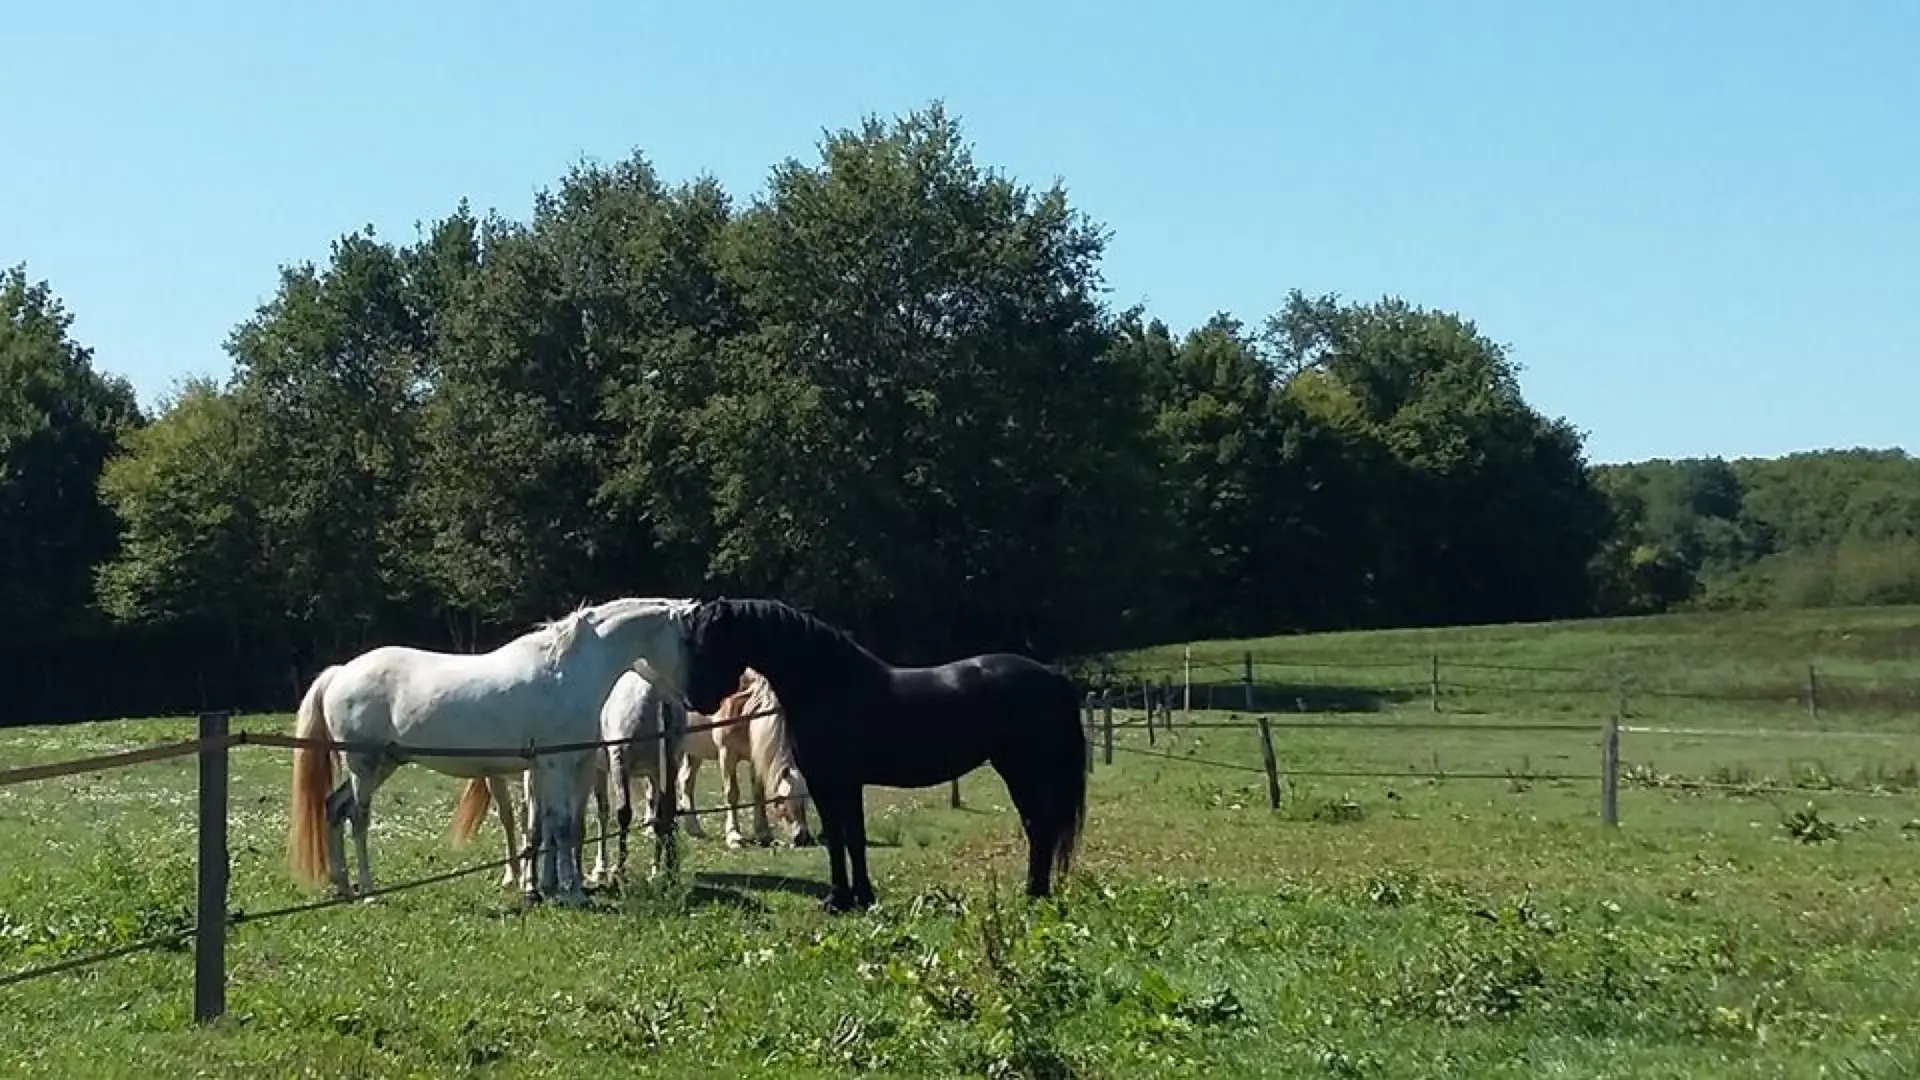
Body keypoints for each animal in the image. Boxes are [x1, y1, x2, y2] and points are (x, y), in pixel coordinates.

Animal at [284, 591, 698, 903]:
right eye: (689, 638)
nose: (688, 700)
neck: (566, 671)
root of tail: (340, 672)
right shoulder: (558, 765)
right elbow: (562, 827)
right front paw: (571, 893)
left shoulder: (551, 768)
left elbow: (552, 827)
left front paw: (552, 888)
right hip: (364, 766)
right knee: (357, 817)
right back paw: (369, 891)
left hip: (383, 764)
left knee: (334, 809)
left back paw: (342, 885)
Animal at [679, 664, 814, 849]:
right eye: (784, 799)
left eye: (805, 802)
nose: (803, 838)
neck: (745, 708)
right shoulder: (727, 754)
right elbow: (732, 793)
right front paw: (734, 836)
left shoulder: (755, 758)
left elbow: (758, 793)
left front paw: (764, 834)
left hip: (694, 750)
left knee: (686, 782)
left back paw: (694, 829)